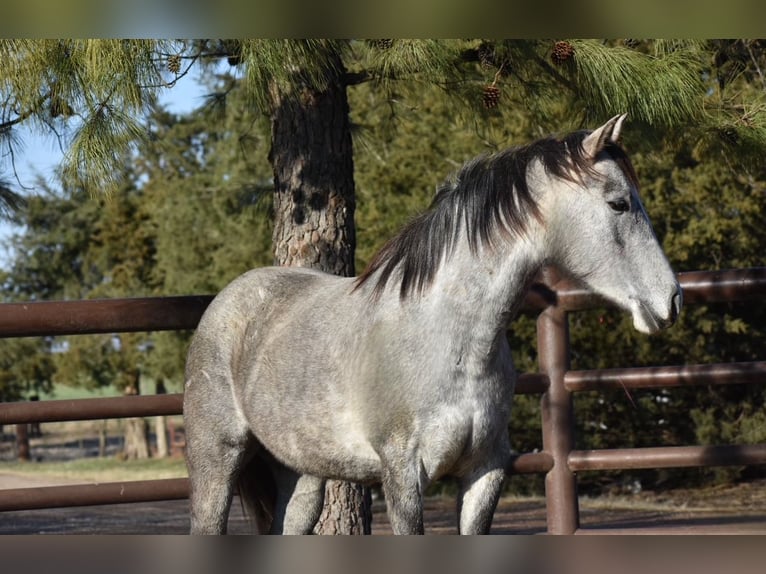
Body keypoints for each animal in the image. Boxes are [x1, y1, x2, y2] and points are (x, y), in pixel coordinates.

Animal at [183, 114, 682, 535]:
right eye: (619, 204)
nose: (672, 299)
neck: (451, 341)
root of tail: (227, 300)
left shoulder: (485, 472)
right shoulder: (403, 476)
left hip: (300, 475)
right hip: (217, 462)